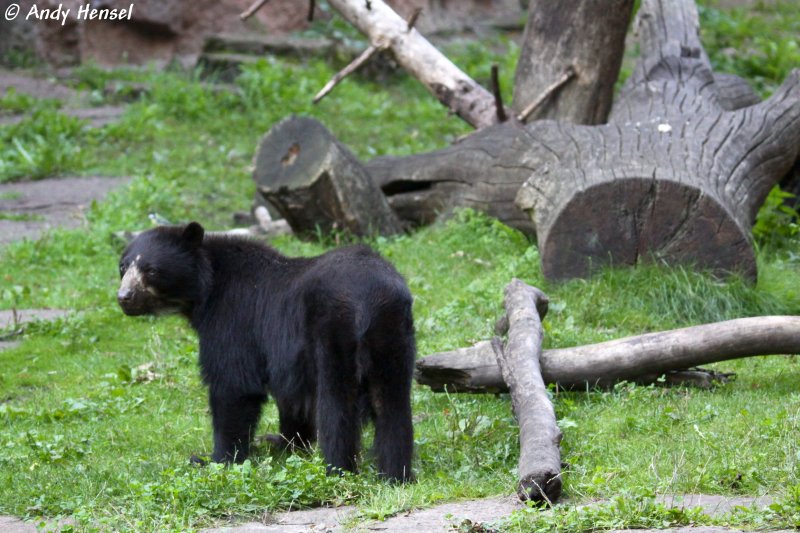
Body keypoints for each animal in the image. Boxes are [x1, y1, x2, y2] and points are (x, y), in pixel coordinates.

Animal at [119, 222, 418, 480]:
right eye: (123, 266)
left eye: (151, 270)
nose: (124, 298)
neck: (205, 290)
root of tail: (368, 302)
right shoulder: (289, 357)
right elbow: (293, 399)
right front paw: (286, 445)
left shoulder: (233, 320)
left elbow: (233, 385)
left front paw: (215, 460)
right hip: (392, 336)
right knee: (391, 404)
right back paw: (396, 474)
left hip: (333, 333)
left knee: (336, 406)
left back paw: (337, 469)